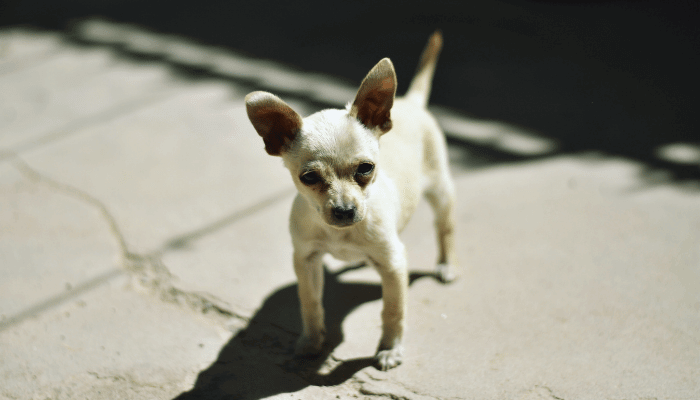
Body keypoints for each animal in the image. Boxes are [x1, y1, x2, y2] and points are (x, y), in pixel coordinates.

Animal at [245, 32, 454, 372]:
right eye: (309, 178)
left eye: (365, 169)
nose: (344, 210)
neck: (341, 234)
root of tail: (409, 101)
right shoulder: (306, 260)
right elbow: (310, 303)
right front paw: (311, 341)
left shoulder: (394, 264)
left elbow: (393, 310)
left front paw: (390, 348)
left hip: (441, 190)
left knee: (445, 227)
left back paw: (446, 264)